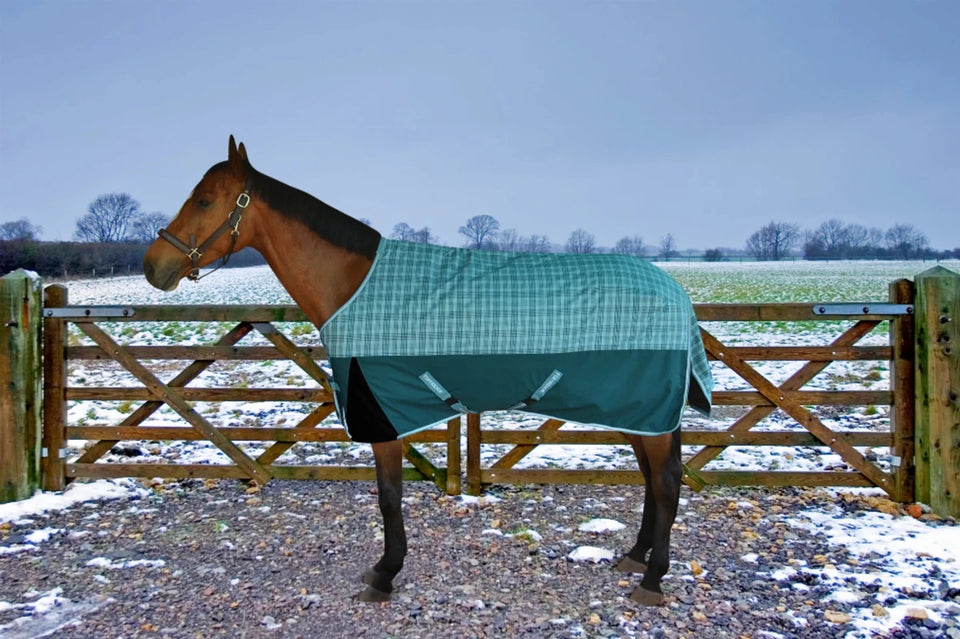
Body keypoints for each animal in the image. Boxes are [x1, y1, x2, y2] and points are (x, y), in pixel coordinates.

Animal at [143, 136, 713, 605]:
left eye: (204, 200)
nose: (153, 267)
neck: (353, 284)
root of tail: (674, 292)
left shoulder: (380, 415)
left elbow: (389, 497)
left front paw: (385, 574)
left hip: (644, 409)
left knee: (665, 481)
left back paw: (652, 580)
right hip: (637, 411)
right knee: (652, 479)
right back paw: (635, 558)